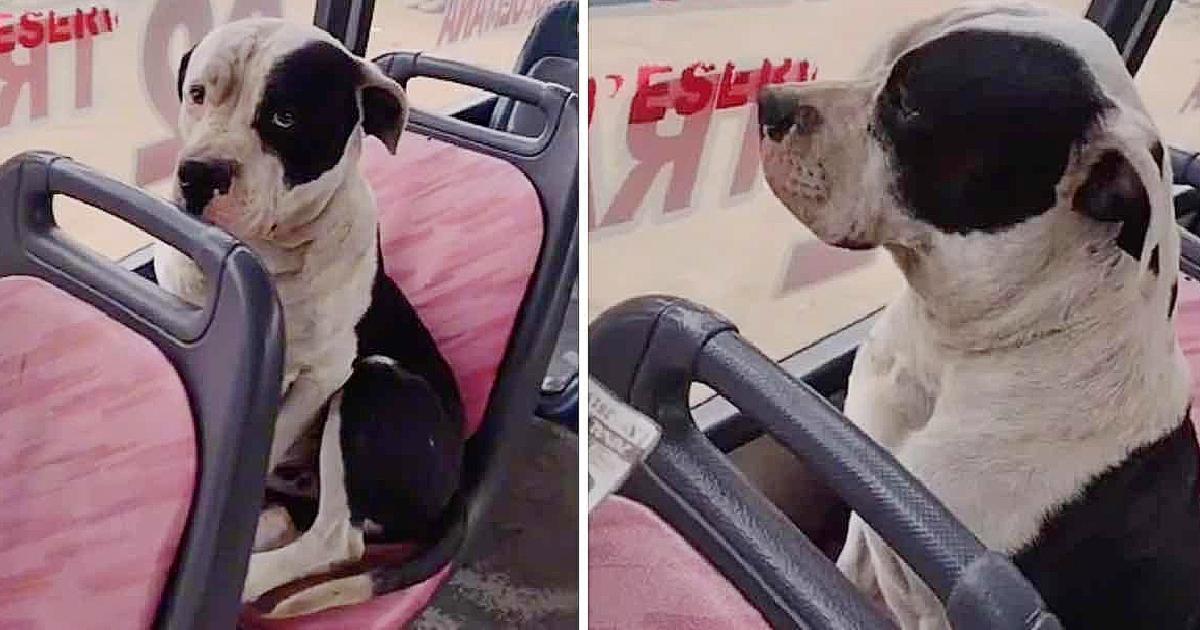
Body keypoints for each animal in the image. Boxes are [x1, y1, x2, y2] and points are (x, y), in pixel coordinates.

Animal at [154, 18, 463, 614]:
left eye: (286, 117)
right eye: (197, 93)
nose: (199, 173)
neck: (267, 255)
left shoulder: (322, 375)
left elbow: (274, 435)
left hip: (381, 382)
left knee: (336, 537)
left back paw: (249, 576)